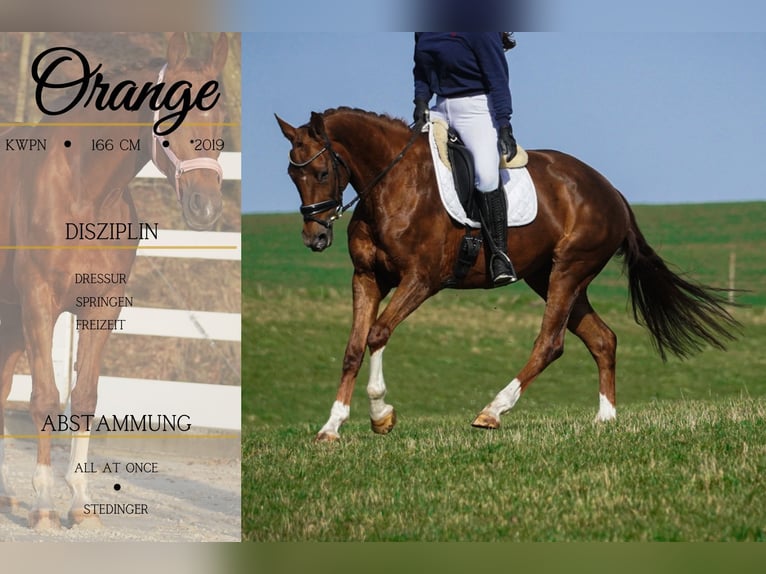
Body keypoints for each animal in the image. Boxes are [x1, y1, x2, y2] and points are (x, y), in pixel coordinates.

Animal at [0, 33, 229, 529]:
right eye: (173, 112)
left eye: (221, 115)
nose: (205, 207)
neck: (84, 191)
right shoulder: (39, 301)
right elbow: (45, 398)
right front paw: (44, 506)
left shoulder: (102, 305)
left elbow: (84, 397)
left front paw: (80, 505)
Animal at [275, 107, 739, 442]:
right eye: (292, 175)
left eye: (321, 172)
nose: (315, 237)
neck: (393, 186)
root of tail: (611, 192)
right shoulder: (367, 278)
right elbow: (353, 347)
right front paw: (331, 427)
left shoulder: (421, 281)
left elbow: (377, 334)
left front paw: (380, 415)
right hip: (546, 276)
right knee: (603, 339)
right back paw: (604, 419)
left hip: (569, 271)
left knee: (550, 343)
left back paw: (493, 411)